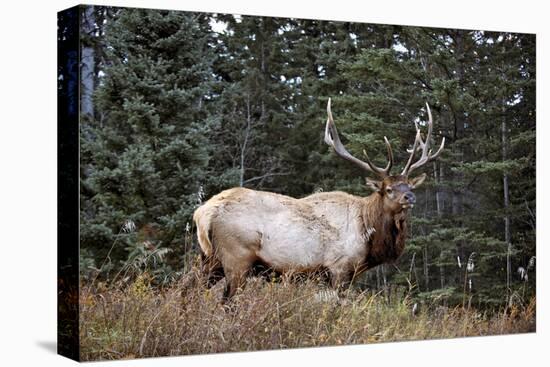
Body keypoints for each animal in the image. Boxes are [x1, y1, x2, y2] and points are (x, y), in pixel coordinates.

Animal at [192, 98, 446, 302]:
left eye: (409, 185)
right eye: (389, 189)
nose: (410, 196)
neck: (369, 234)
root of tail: (204, 213)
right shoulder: (339, 268)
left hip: (210, 259)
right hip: (237, 257)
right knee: (227, 301)